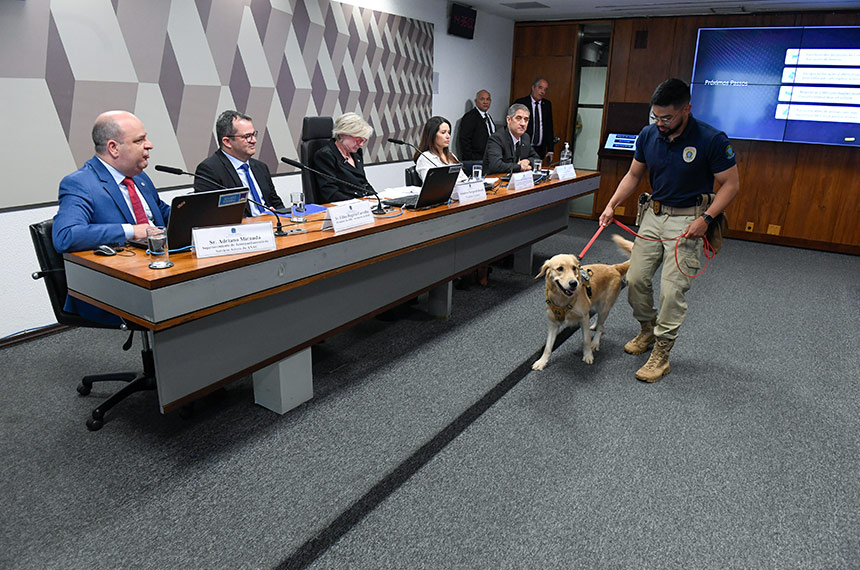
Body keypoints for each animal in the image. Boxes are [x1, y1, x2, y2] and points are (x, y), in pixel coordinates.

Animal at [536, 234, 636, 370]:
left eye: (574, 268)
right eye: (560, 269)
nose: (574, 283)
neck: (563, 299)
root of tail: (613, 267)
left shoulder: (583, 318)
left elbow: (586, 340)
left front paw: (588, 355)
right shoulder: (553, 323)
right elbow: (548, 346)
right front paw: (542, 361)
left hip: (604, 307)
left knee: (601, 326)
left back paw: (595, 342)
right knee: (599, 322)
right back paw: (594, 325)